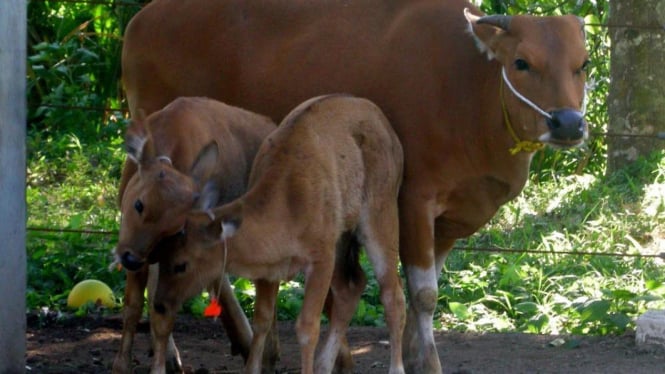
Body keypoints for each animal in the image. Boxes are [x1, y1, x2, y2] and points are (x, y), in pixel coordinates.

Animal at [111, 97, 274, 374]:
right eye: (139, 204)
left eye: (174, 228)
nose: (130, 259)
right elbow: (134, 306)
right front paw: (122, 365)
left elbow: (163, 313)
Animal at [152, 95, 404, 372]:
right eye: (161, 254)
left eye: (181, 264)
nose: (159, 304)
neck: (286, 202)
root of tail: (385, 125)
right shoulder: (269, 270)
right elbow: (262, 321)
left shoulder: (321, 258)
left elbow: (307, 327)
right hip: (343, 241)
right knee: (352, 286)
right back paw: (325, 365)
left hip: (379, 219)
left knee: (392, 295)